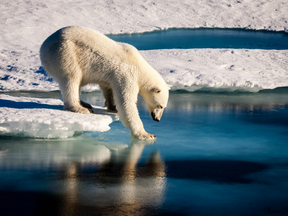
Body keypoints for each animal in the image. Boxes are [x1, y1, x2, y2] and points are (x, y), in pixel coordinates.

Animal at [40, 26, 169, 140]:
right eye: (160, 106)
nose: (157, 119)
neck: (139, 66)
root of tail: (43, 46)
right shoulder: (127, 75)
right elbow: (126, 103)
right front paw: (147, 134)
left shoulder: (112, 76)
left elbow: (108, 88)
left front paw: (112, 107)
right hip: (65, 54)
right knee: (72, 78)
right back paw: (81, 108)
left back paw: (85, 103)